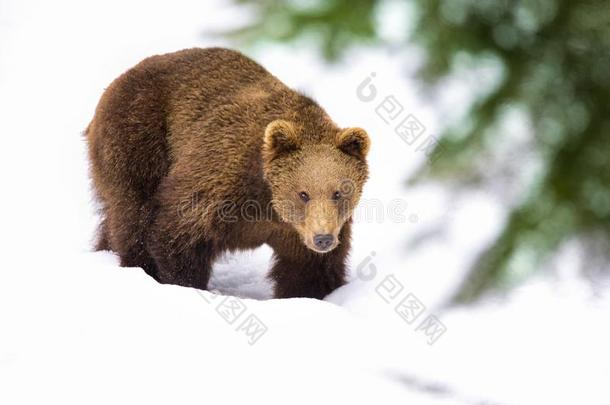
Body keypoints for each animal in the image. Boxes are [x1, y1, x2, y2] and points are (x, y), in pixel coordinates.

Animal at [86, 48, 368, 300]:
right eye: (303, 193)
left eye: (338, 192)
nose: (323, 238)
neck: (268, 202)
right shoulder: (219, 179)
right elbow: (176, 230)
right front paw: (183, 283)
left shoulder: (300, 233)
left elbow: (309, 272)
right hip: (138, 136)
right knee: (133, 213)